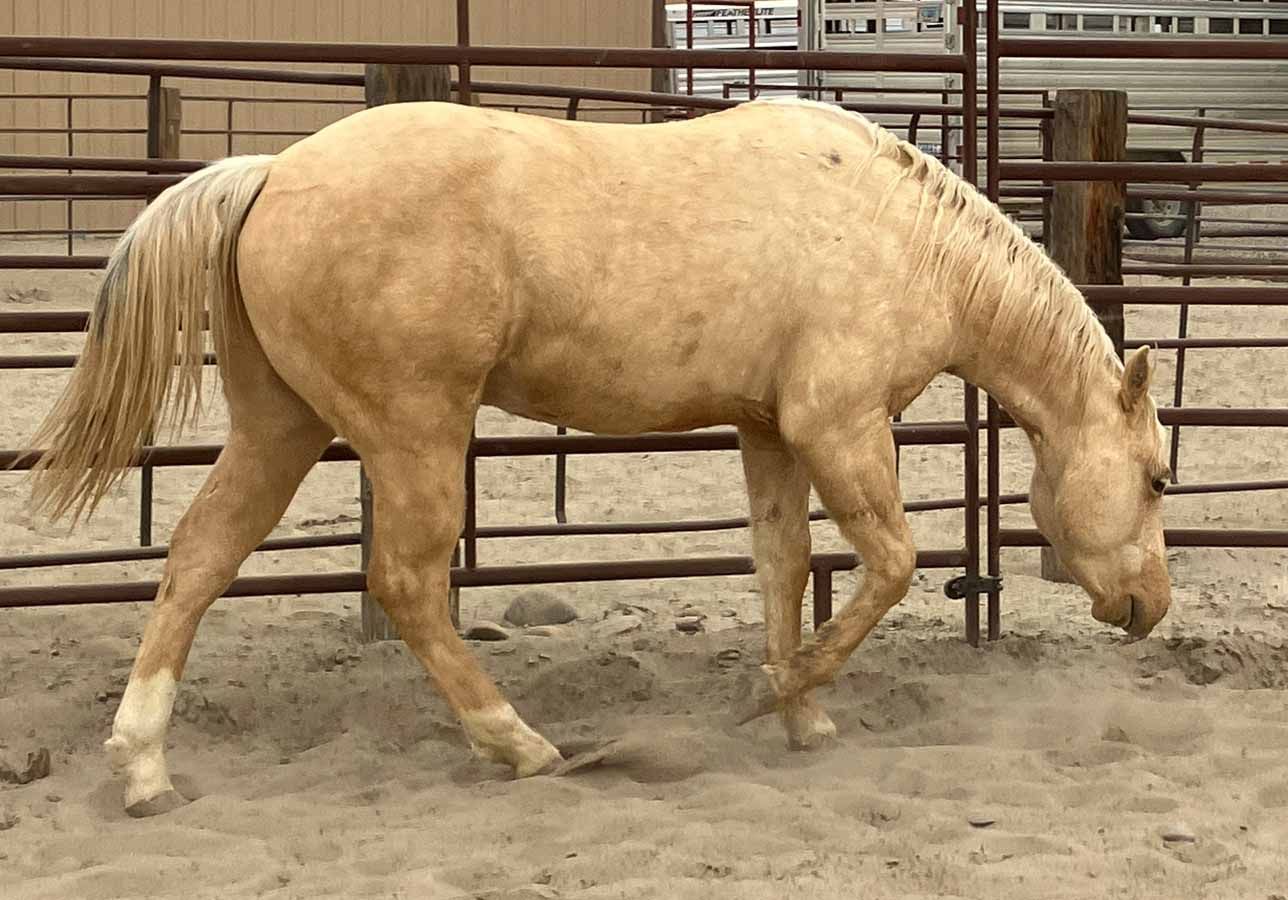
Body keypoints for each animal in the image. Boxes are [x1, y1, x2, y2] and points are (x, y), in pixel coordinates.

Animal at [23, 98, 1171, 817]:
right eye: (1160, 478)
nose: (1152, 608)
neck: (901, 238)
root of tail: (270, 173)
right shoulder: (838, 427)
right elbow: (890, 565)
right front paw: (774, 700)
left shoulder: (771, 433)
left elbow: (785, 569)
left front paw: (800, 714)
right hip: (412, 433)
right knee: (406, 582)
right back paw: (519, 744)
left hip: (285, 427)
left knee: (199, 557)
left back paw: (143, 770)